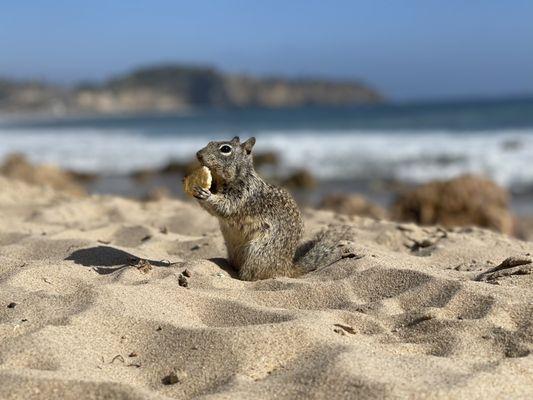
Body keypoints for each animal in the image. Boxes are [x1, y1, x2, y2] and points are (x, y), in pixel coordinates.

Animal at [190, 138, 354, 282]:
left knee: (252, 275)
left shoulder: (244, 196)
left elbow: (225, 207)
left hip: (258, 253)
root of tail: (286, 268)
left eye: (225, 149)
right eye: (209, 142)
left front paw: (206, 194)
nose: (198, 154)